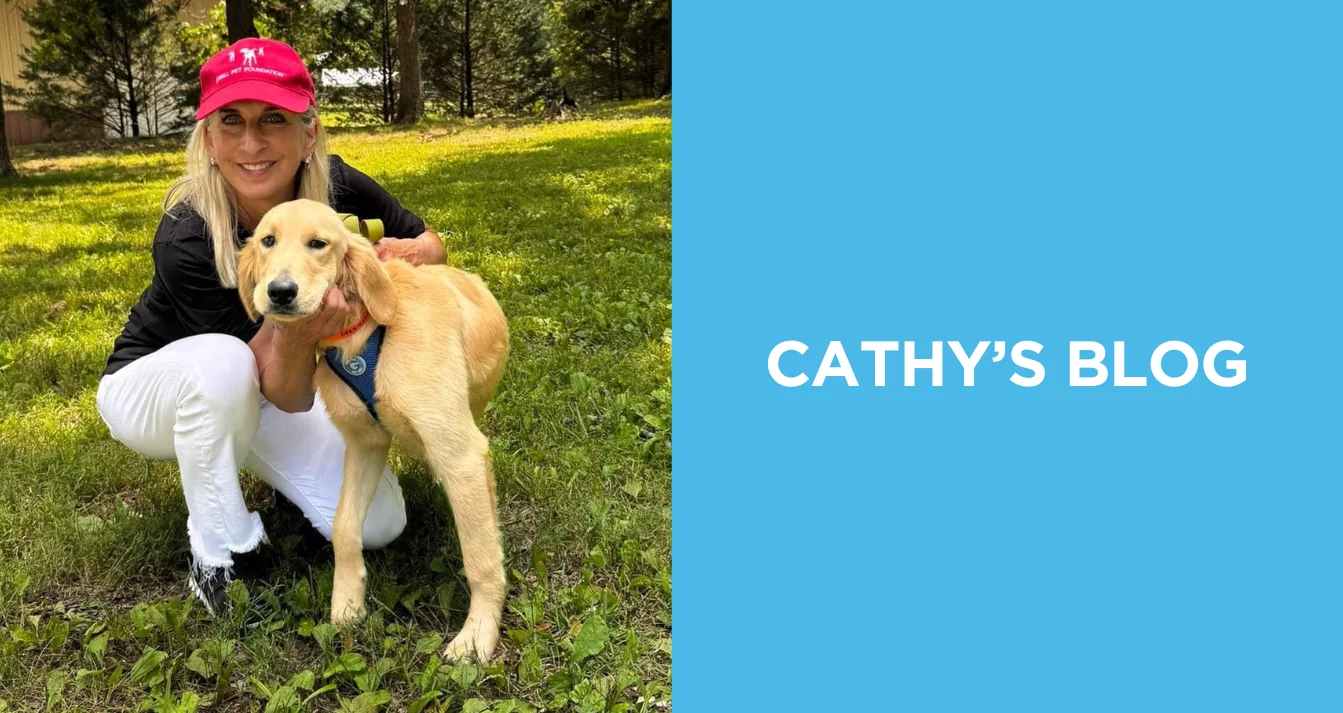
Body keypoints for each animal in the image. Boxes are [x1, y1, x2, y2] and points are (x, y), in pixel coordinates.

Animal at [236, 198, 507, 660]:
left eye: (318, 244)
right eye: (268, 240)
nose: (280, 292)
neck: (364, 334)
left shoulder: (460, 452)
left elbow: (481, 557)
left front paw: (477, 637)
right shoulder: (365, 443)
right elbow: (344, 526)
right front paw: (347, 601)